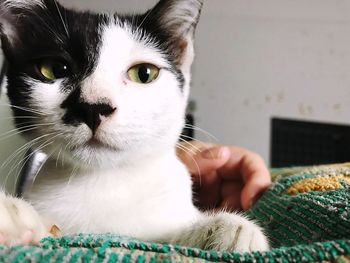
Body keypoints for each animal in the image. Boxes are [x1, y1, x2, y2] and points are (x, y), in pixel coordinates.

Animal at [0, 0, 270, 253]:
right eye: (54, 69)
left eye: (144, 73)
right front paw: (12, 217)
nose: (93, 107)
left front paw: (226, 229)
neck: (105, 182)